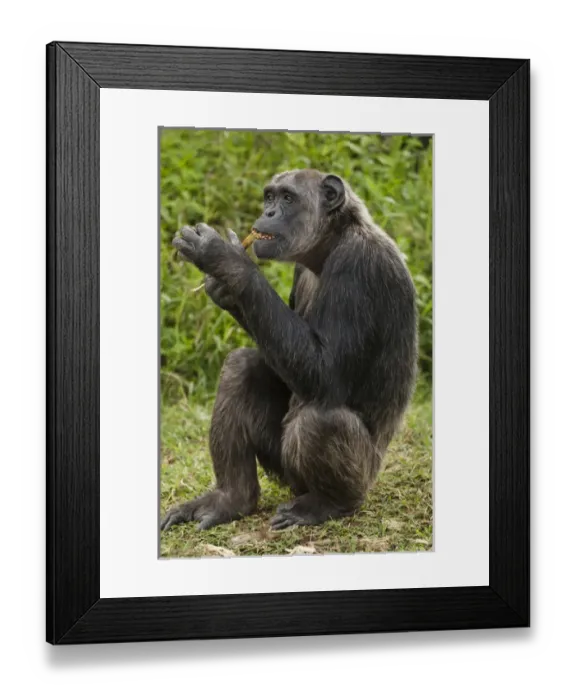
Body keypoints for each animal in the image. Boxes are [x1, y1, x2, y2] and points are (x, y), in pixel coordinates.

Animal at [161, 169, 418, 531]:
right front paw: (224, 287)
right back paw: (231, 498)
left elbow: (326, 373)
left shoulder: (358, 267)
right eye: (269, 197)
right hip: (284, 468)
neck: (330, 243)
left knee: (320, 419)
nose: (268, 212)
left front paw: (227, 260)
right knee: (240, 366)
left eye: (287, 198)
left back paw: (326, 504)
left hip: (355, 477)